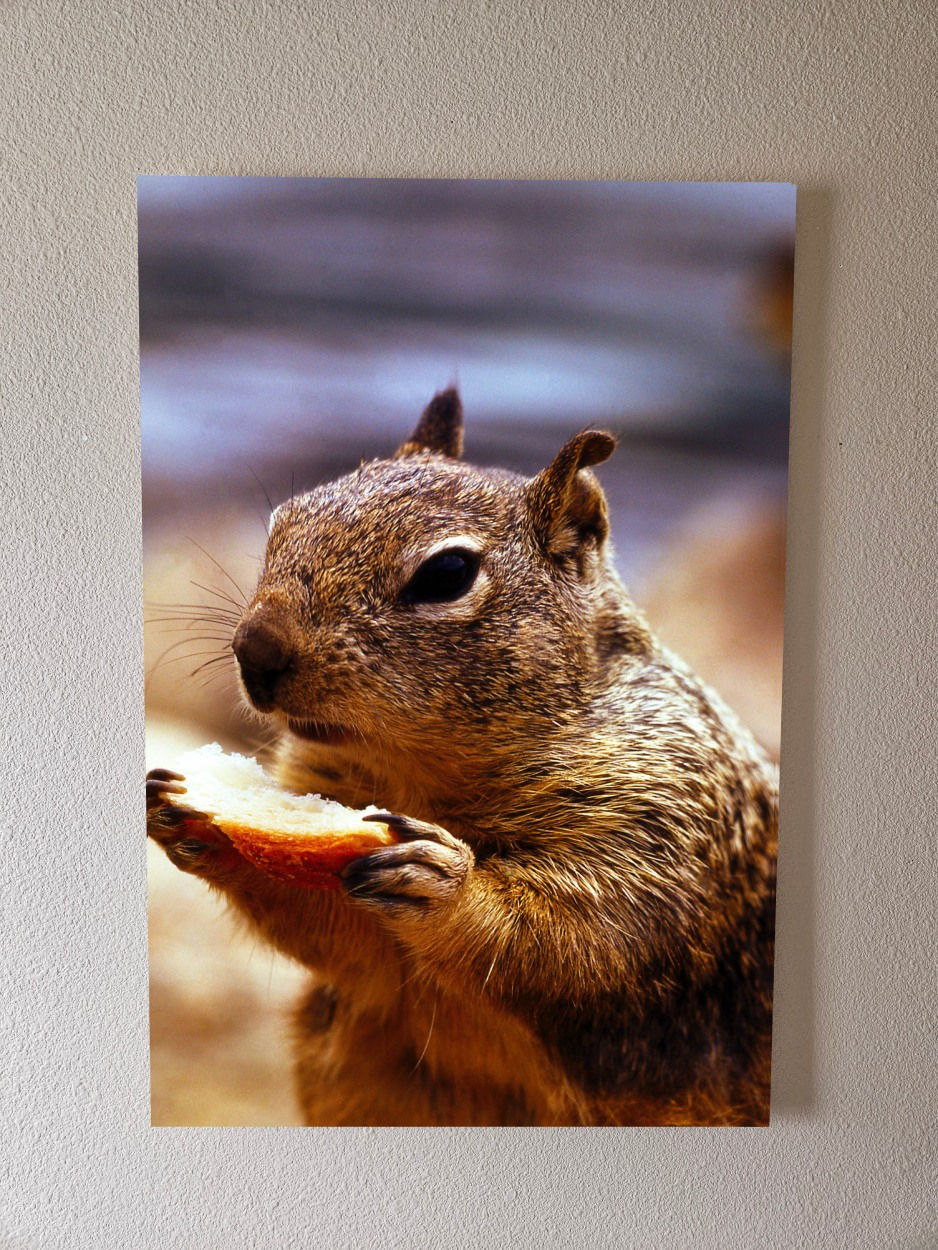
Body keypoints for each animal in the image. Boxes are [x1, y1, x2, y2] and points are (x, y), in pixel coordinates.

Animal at [147, 387, 778, 1127]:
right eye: (284, 520)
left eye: (448, 574)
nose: (255, 653)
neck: (424, 775)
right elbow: (343, 943)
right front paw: (188, 822)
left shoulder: (660, 831)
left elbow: (579, 942)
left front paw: (447, 886)